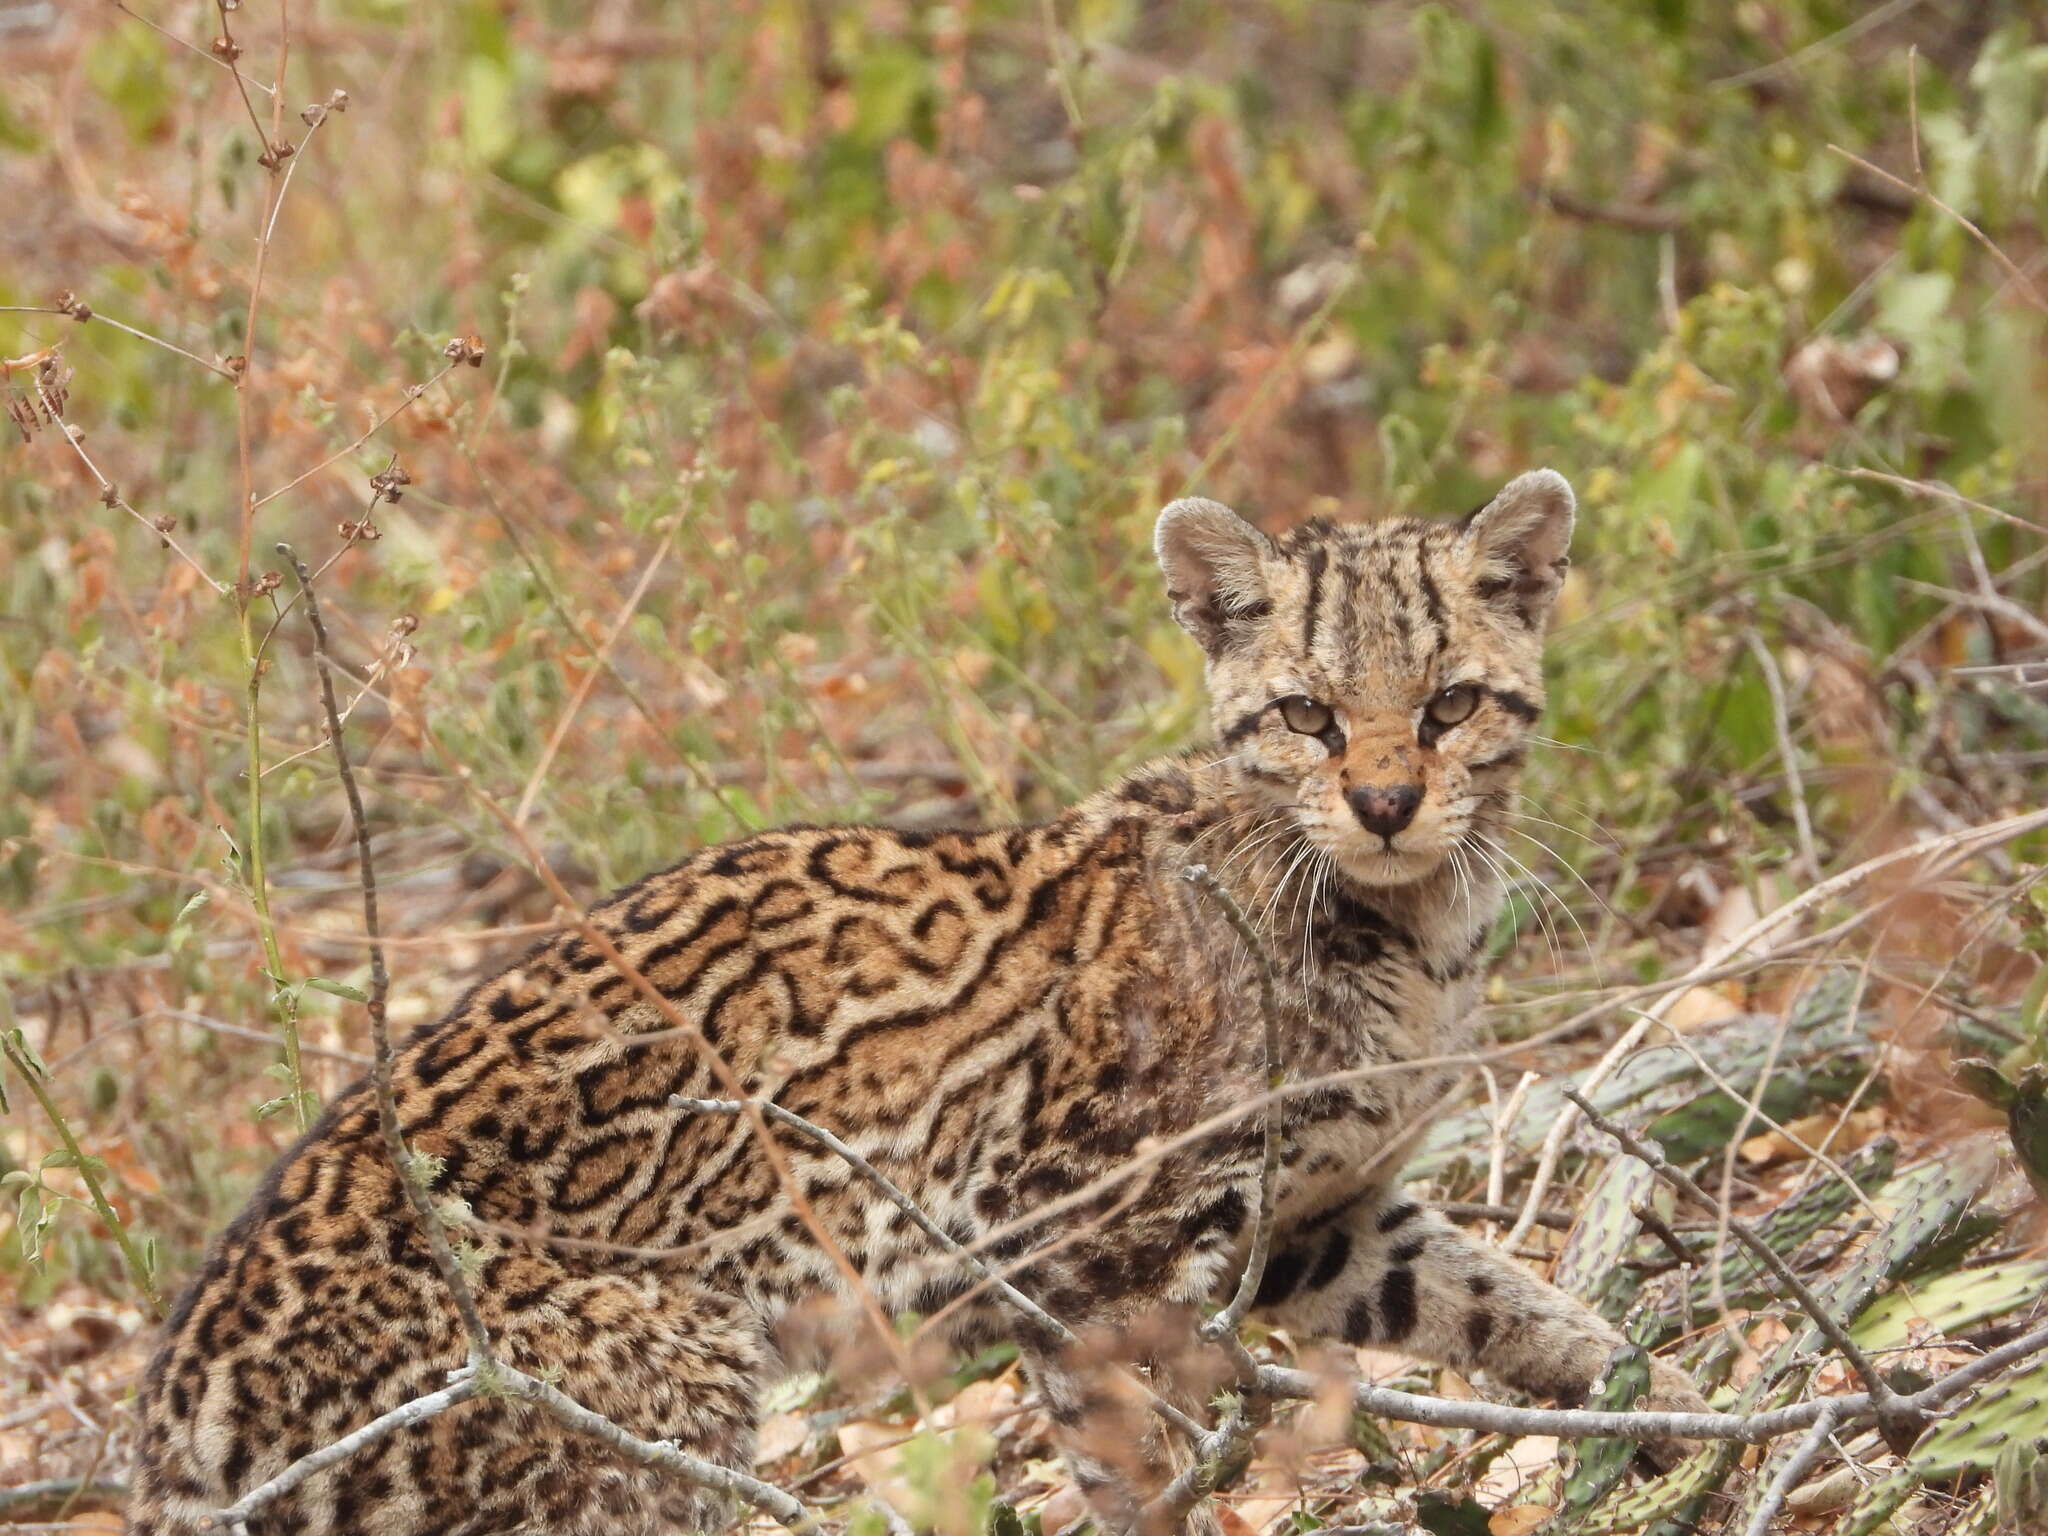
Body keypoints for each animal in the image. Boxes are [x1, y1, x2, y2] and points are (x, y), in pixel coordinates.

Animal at [128, 473, 1712, 1536]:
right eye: (1308, 716)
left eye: (1448, 705)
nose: (1386, 801)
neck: (1405, 928)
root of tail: (166, 1427)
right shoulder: (1083, 1248)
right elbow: (1138, 1479)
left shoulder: (1316, 1218)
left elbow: (1511, 1303)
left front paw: (1668, 1411)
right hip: (650, 1404)